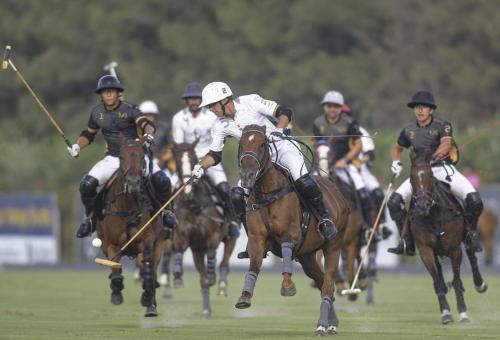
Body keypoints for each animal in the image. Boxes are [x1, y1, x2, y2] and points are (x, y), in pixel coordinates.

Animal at [93, 137, 165, 318]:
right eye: (121, 157)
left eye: (142, 156)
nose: (133, 183)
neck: (127, 207)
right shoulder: (111, 244)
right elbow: (115, 268)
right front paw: (116, 292)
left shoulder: (148, 240)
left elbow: (148, 268)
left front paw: (147, 298)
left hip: (160, 244)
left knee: (152, 269)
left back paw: (151, 304)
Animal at [171, 141, 237, 318]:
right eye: (177, 161)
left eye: (194, 159)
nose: (187, 190)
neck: (194, 204)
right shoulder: (184, 235)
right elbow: (179, 248)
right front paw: (177, 276)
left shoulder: (213, 234)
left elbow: (213, 252)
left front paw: (212, 276)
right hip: (197, 251)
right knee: (202, 279)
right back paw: (206, 309)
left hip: (230, 237)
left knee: (224, 261)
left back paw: (221, 285)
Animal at [233, 125, 348, 334]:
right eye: (242, 143)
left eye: (262, 144)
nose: (247, 176)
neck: (267, 193)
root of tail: (338, 194)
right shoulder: (256, 239)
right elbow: (254, 265)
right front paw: (245, 296)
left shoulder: (290, 234)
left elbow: (286, 252)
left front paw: (287, 285)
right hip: (307, 256)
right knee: (321, 282)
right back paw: (331, 323)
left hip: (333, 246)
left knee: (328, 283)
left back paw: (322, 325)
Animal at [408, 149, 486, 324]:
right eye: (411, 177)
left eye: (430, 175)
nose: (423, 205)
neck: (435, 214)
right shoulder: (425, 250)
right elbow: (437, 280)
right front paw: (445, 312)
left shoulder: (454, 249)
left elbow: (456, 280)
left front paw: (463, 313)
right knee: (440, 274)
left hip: (466, 235)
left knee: (472, 254)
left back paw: (479, 284)